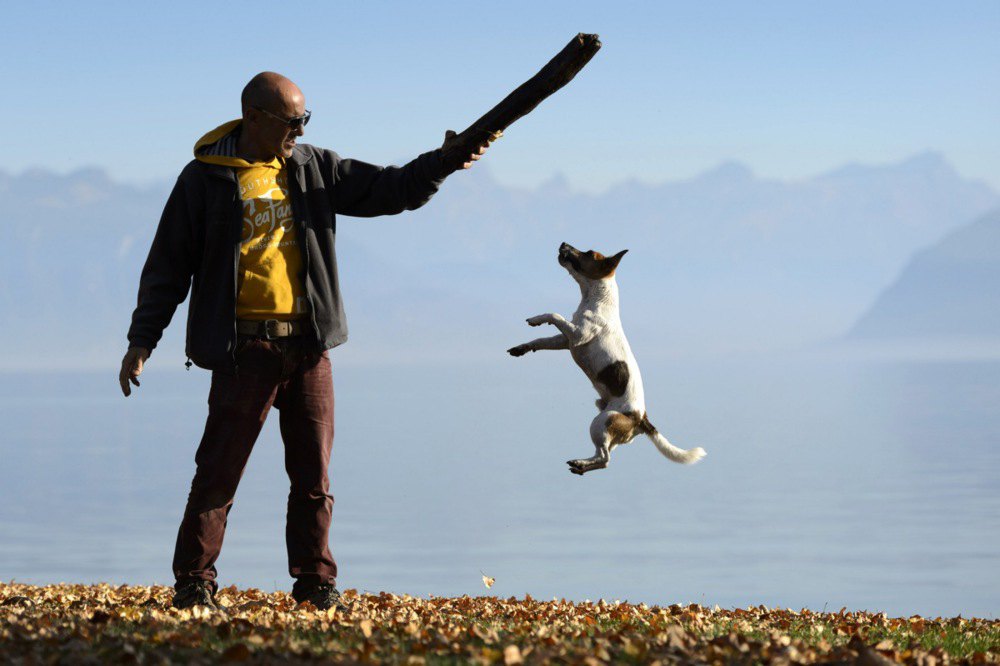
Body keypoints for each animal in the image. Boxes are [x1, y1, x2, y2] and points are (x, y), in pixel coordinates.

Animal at [508, 243, 704, 472]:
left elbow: (555, 315)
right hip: (604, 424)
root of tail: (642, 419)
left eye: (589, 253)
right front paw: (524, 345)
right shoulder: (566, 340)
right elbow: (541, 339)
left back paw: (580, 463)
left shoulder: (577, 334)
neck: (597, 298)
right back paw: (581, 465)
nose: (563, 243)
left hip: (602, 421)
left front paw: (539, 319)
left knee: (605, 459)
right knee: (602, 457)